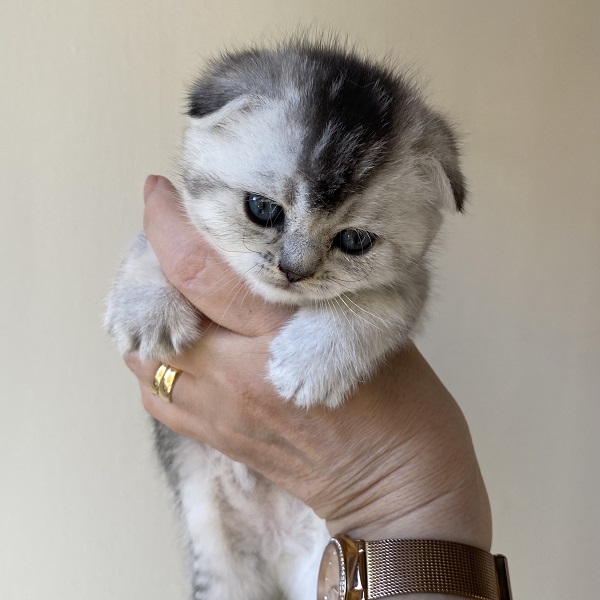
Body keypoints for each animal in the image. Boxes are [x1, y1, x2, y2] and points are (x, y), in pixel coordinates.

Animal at [105, 39, 465, 600]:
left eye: (354, 240)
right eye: (261, 208)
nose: (294, 271)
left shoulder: (410, 280)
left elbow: (376, 304)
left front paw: (310, 364)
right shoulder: (175, 219)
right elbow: (149, 246)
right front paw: (147, 309)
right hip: (220, 562)